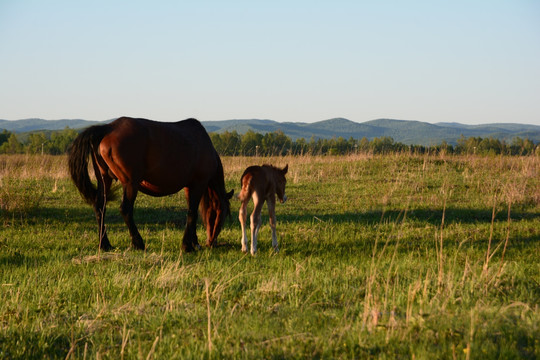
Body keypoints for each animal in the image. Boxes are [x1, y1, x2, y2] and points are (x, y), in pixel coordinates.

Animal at [68, 116, 234, 252]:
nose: (212, 242)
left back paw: (105, 244)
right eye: (223, 213)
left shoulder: (189, 187)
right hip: (130, 183)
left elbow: (192, 212)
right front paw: (187, 246)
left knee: (100, 207)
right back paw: (138, 243)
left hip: (104, 179)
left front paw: (194, 242)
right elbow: (192, 213)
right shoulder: (199, 184)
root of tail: (108, 128)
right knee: (125, 209)